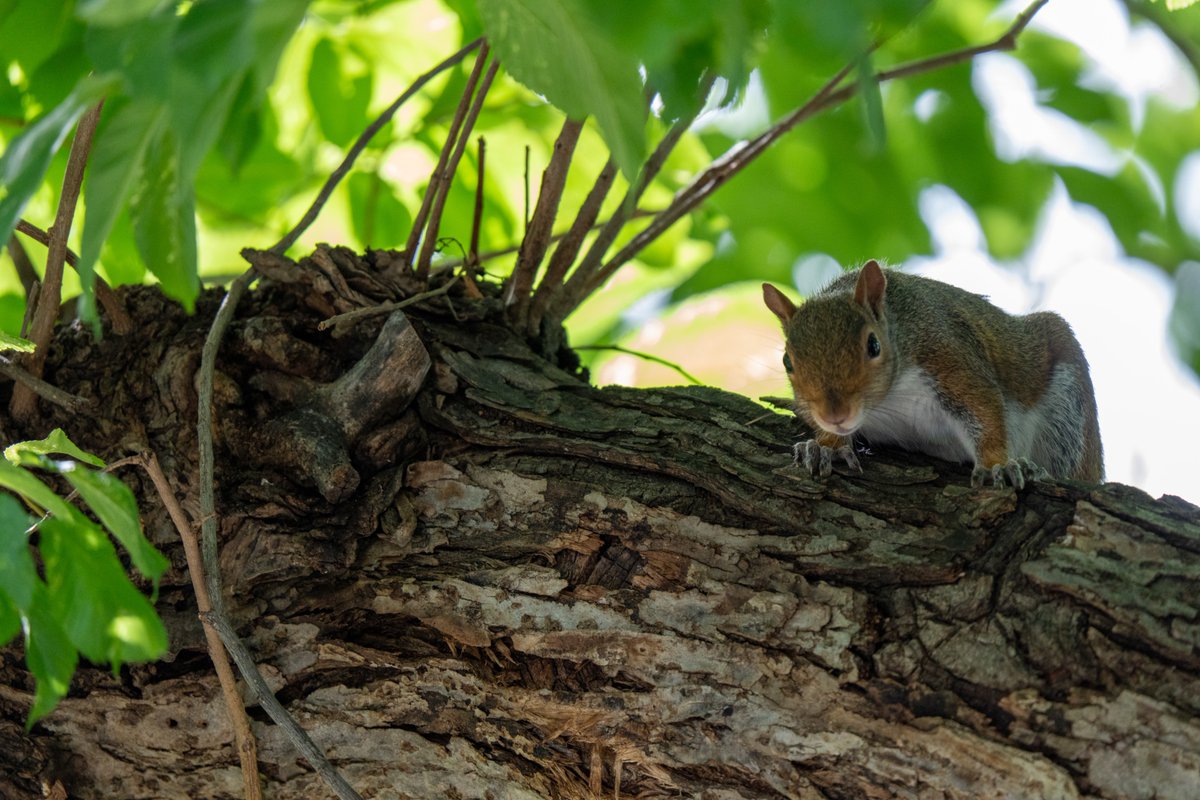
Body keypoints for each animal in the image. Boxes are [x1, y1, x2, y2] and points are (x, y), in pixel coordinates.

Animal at [762, 259, 1104, 488]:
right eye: (787, 361)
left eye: (873, 345)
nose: (835, 415)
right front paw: (825, 446)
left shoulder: (947, 356)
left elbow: (985, 410)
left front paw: (997, 465)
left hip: (1069, 413)